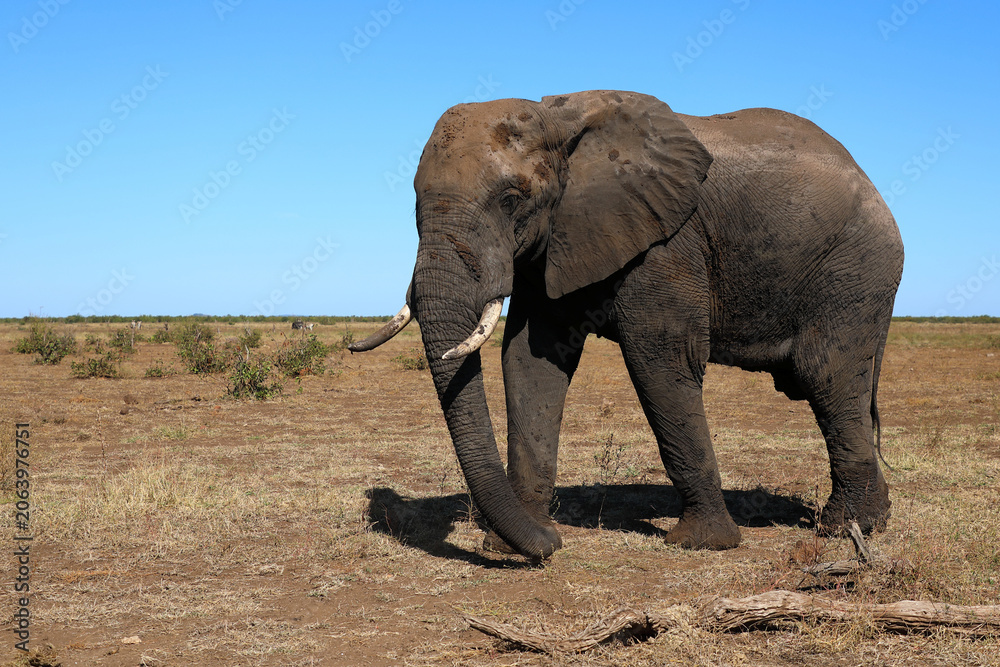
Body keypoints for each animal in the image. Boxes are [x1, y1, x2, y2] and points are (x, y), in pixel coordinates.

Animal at [350, 90, 904, 561]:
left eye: (511, 198)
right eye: (413, 202)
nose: (552, 548)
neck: (560, 118)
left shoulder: (667, 240)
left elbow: (659, 358)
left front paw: (702, 544)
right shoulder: (555, 238)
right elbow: (530, 362)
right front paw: (515, 543)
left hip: (854, 269)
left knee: (825, 376)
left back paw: (843, 528)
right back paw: (870, 522)